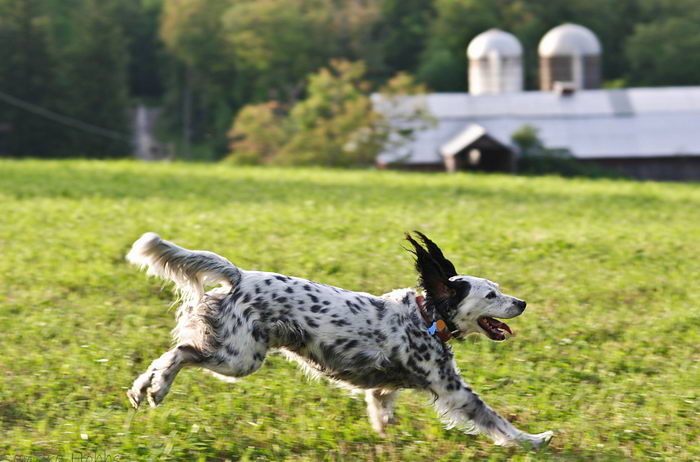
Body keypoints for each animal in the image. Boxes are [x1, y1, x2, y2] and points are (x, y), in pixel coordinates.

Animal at [126, 231, 552, 448]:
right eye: (491, 295)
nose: (522, 303)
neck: (426, 316)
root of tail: (239, 276)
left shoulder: (382, 390)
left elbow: (382, 415)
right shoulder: (453, 389)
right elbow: (494, 419)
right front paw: (533, 439)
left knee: (167, 356)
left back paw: (140, 390)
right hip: (238, 359)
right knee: (180, 352)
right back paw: (158, 388)